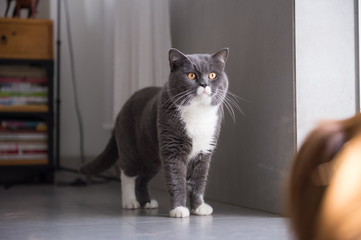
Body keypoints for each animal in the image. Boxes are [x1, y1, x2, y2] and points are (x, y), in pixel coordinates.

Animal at [80, 47, 229, 218]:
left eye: (212, 75)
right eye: (191, 75)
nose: (204, 84)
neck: (197, 113)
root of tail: (122, 109)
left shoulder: (204, 152)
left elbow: (199, 181)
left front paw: (199, 208)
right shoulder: (172, 149)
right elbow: (176, 180)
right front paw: (179, 209)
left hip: (152, 157)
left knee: (142, 178)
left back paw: (147, 202)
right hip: (130, 146)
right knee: (128, 174)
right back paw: (130, 202)